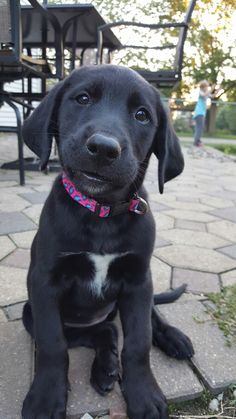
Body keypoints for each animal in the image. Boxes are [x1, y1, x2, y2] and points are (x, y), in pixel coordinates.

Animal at [21, 65, 194, 419]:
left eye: (142, 115)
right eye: (82, 98)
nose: (103, 147)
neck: (101, 214)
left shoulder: (139, 280)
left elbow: (139, 341)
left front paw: (143, 394)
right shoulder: (43, 283)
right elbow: (53, 344)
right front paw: (45, 398)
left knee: (144, 320)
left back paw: (172, 338)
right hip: (30, 313)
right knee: (101, 331)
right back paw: (104, 369)